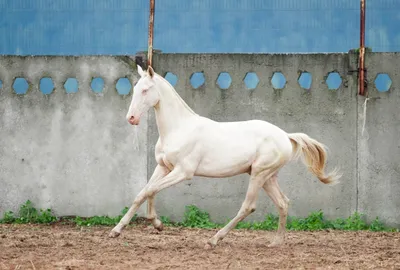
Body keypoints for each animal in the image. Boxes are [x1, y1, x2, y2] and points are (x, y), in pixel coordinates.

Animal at [110, 64, 340, 248]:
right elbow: (144, 192)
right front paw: (119, 230)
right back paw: (275, 242)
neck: (179, 128)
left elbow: (151, 190)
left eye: (145, 90)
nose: (131, 118)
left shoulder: (183, 172)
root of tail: (286, 136)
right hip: (268, 177)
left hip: (259, 174)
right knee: (283, 203)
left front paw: (156, 224)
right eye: (135, 89)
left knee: (248, 206)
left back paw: (213, 240)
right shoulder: (163, 167)